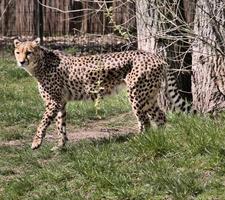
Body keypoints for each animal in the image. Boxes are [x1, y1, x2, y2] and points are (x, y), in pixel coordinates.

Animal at [13, 38, 190, 150]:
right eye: (17, 52)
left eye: (29, 52)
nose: (21, 62)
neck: (40, 64)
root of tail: (156, 57)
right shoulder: (61, 103)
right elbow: (60, 125)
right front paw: (60, 146)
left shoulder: (53, 103)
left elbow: (42, 123)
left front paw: (36, 143)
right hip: (148, 96)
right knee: (160, 117)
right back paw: (160, 138)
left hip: (136, 95)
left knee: (145, 121)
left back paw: (139, 141)